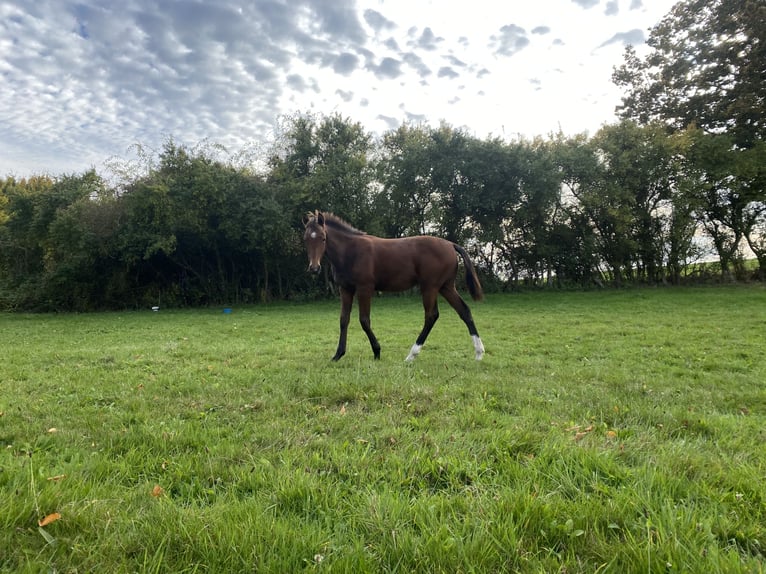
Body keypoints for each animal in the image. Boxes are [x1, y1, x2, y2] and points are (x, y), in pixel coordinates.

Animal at [302, 212, 486, 364]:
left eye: (323, 238)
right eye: (306, 239)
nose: (314, 268)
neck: (350, 251)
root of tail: (451, 244)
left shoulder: (364, 288)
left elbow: (364, 320)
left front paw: (377, 352)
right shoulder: (345, 289)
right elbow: (343, 320)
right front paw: (338, 354)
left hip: (430, 287)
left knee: (431, 316)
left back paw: (411, 355)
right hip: (446, 287)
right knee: (464, 311)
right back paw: (478, 353)